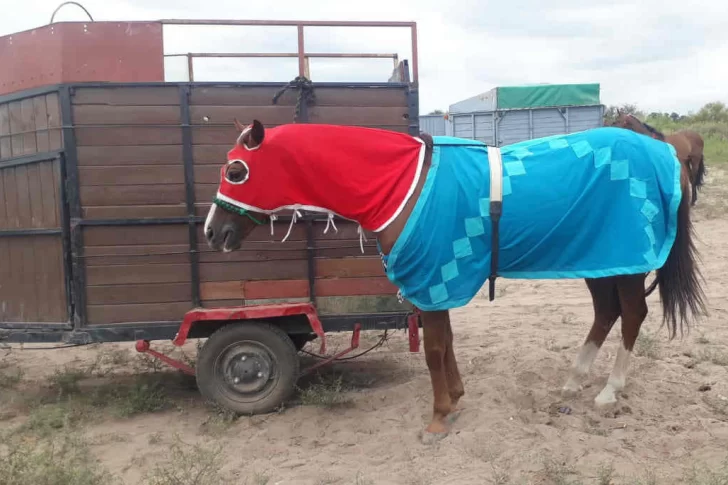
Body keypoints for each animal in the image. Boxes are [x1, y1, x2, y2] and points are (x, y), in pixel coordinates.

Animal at [203, 118, 704, 442]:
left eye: (236, 171)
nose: (213, 233)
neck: (405, 186)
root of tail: (664, 150)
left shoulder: (433, 278)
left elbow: (434, 350)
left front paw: (439, 417)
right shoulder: (436, 281)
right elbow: (444, 344)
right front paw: (456, 398)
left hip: (627, 262)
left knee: (632, 314)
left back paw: (609, 390)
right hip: (599, 258)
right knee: (607, 311)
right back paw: (574, 379)